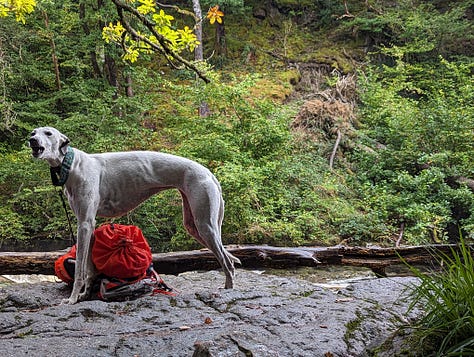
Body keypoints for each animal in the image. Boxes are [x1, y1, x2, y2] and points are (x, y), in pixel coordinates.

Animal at [28, 126, 241, 302]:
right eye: (33, 132)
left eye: (48, 133)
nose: (31, 140)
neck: (72, 163)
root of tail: (209, 173)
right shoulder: (88, 225)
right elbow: (89, 268)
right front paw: (84, 295)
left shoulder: (85, 223)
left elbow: (80, 267)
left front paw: (72, 299)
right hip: (193, 224)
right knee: (226, 257)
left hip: (205, 224)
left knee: (226, 261)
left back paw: (228, 288)